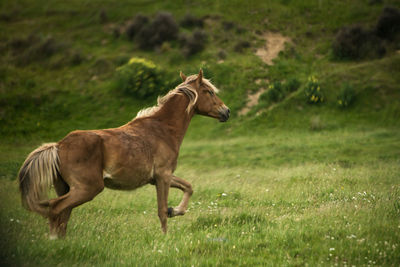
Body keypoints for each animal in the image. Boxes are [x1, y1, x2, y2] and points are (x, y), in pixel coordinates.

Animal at [18, 70, 230, 240]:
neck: (162, 130)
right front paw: (165, 236)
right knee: (56, 208)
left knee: (63, 214)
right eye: (209, 91)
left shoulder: (159, 177)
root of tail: (58, 146)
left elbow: (188, 187)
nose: (226, 111)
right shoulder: (163, 176)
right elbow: (161, 210)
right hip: (87, 188)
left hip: (66, 187)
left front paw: (175, 210)